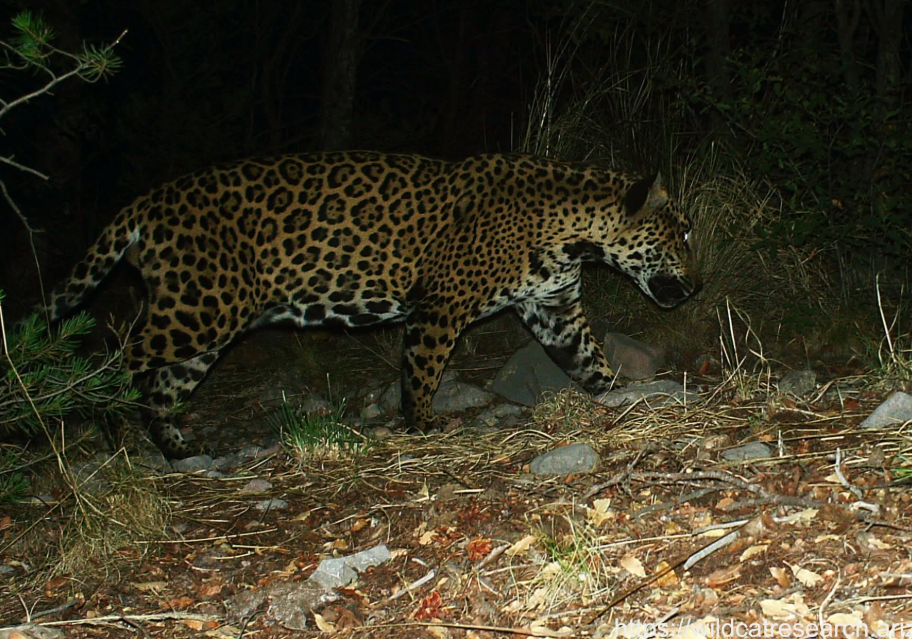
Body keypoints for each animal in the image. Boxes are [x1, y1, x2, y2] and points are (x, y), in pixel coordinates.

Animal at [47, 151, 701, 458]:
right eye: (683, 234)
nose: (698, 286)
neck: (573, 231)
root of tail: (146, 203)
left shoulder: (555, 307)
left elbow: (589, 361)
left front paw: (619, 394)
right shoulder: (441, 305)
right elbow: (423, 369)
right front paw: (423, 423)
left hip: (204, 322)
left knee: (163, 386)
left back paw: (180, 449)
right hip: (200, 307)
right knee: (116, 356)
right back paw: (105, 423)